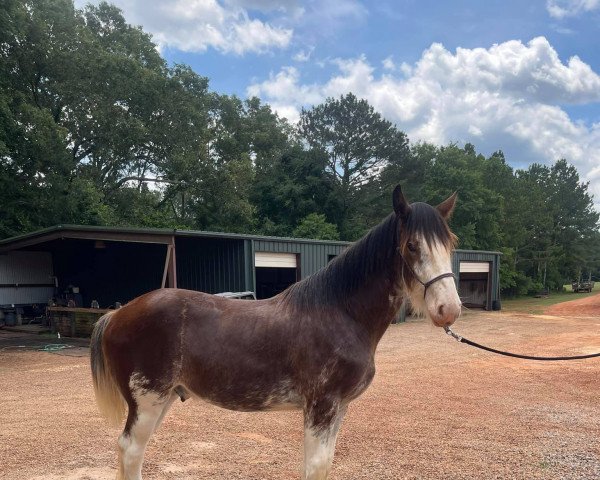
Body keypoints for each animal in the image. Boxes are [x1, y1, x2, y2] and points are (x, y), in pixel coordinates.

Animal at [91, 185, 462, 480]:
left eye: (450, 245)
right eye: (412, 245)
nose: (449, 309)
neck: (339, 312)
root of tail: (117, 314)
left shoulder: (338, 409)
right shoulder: (321, 407)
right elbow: (315, 467)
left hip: (163, 398)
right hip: (148, 400)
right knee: (131, 451)